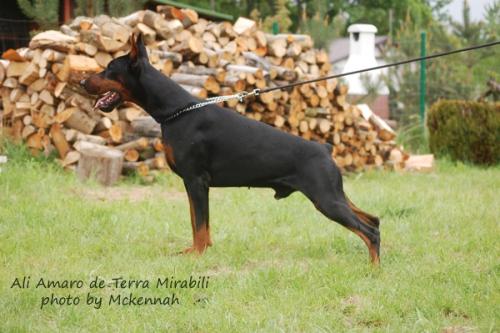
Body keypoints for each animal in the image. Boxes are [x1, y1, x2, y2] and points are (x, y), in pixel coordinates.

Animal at [81, 33, 378, 262]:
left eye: (109, 68)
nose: (82, 81)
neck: (176, 111)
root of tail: (325, 148)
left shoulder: (196, 180)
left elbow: (200, 224)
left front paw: (197, 255)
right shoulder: (192, 184)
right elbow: (197, 222)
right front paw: (196, 251)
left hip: (325, 198)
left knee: (369, 231)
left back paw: (373, 269)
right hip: (334, 194)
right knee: (374, 220)